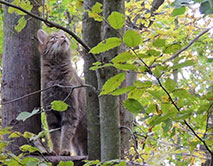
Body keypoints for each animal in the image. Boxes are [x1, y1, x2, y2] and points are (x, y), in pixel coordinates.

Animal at [37, 28, 87, 156]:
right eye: (54, 37)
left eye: (64, 35)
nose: (64, 37)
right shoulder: (50, 110)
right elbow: (54, 135)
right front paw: (55, 150)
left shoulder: (70, 108)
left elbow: (66, 133)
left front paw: (64, 150)